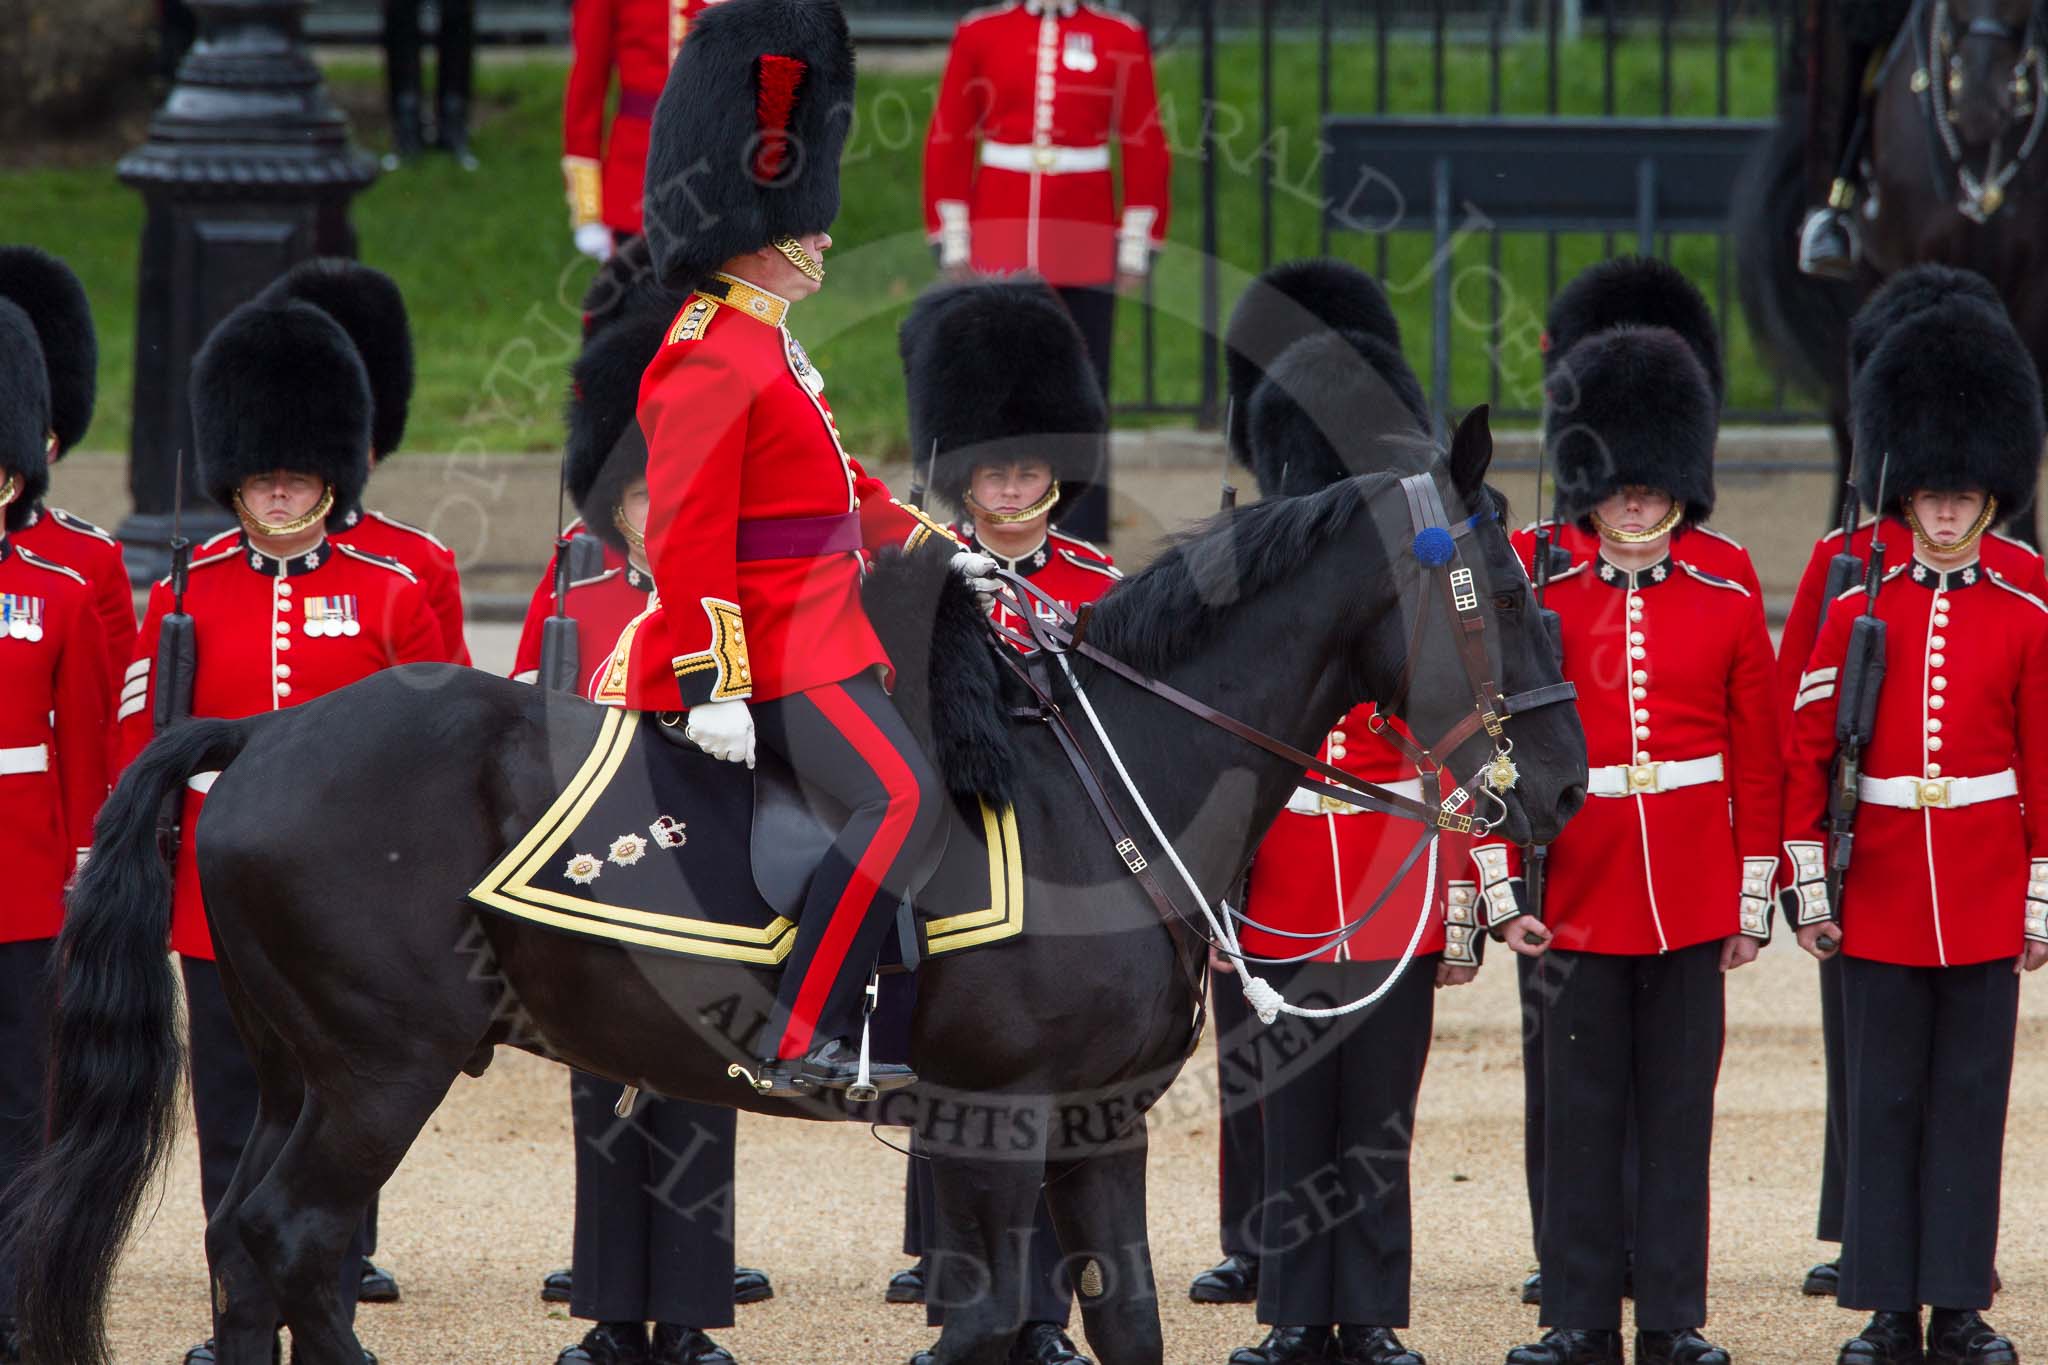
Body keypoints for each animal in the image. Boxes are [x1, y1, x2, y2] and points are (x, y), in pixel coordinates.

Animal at [8, 413, 1581, 1365]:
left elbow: (1112, 1316)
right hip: (377, 1069)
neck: (1102, 783)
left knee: (245, 1245)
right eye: (1507, 591)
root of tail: (261, 735)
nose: (1561, 789)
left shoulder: (1098, 1122)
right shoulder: (1002, 1120)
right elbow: (993, 1322)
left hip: (299, 1062)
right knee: (295, 1240)